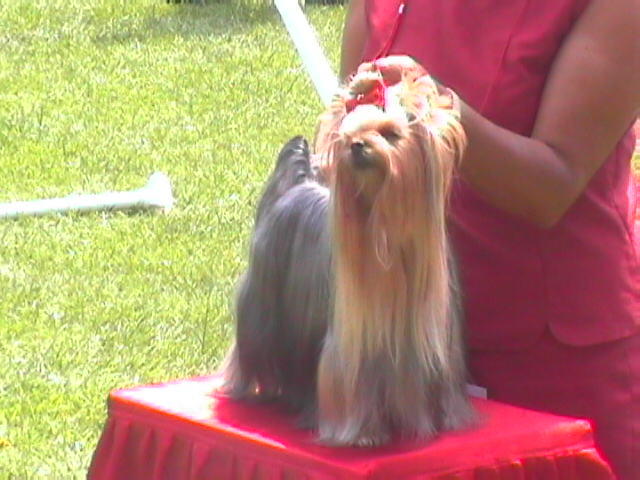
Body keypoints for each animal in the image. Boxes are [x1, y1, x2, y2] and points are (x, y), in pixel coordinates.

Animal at [221, 62, 475, 446]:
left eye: (391, 134)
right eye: (348, 134)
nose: (357, 146)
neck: (385, 233)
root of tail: (297, 185)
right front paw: (362, 435)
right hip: (263, 310)